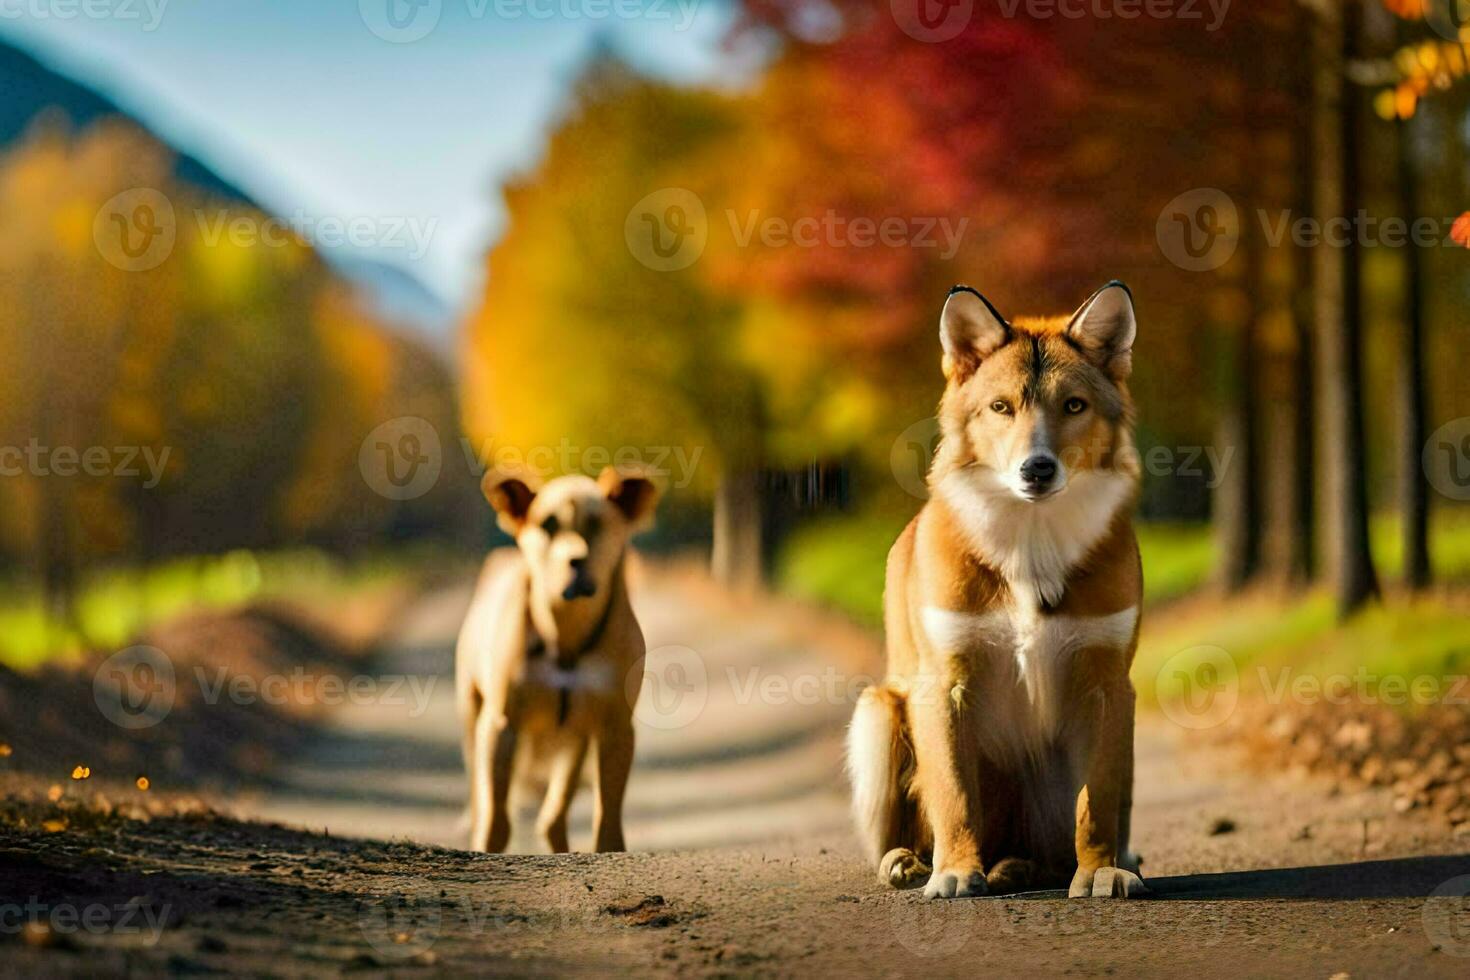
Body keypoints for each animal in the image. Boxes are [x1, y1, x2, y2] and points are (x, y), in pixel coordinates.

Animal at [458, 464, 661, 852]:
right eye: (547, 524)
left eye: (597, 523)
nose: (575, 560)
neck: (566, 628)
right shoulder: (503, 722)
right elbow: (496, 817)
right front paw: (487, 846)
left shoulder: (614, 725)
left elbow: (608, 815)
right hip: (473, 713)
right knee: (481, 792)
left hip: (575, 740)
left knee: (552, 816)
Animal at [852, 279, 1146, 899]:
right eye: (1000, 407)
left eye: (1074, 406)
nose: (1037, 469)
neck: (1030, 543)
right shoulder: (944, 683)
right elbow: (955, 794)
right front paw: (956, 873)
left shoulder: (1109, 684)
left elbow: (1097, 801)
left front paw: (1100, 870)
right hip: (877, 711)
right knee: (906, 827)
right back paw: (911, 863)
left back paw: (1033, 865)